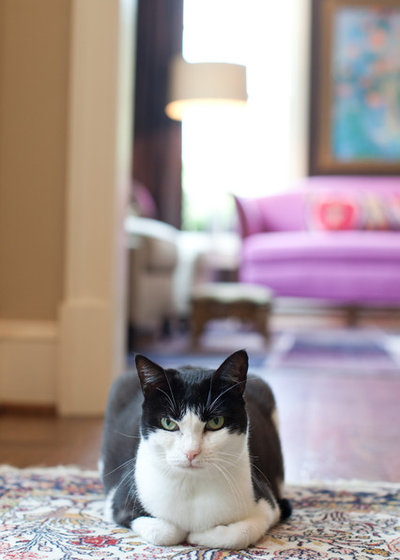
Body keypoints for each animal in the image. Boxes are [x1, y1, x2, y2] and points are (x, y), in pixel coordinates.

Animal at [100, 350, 290, 548]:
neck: (191, 487)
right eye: (168, 423)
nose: (191, 452)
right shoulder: (117, 503)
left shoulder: (268, 506)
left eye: (216, 422)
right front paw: (185, 533)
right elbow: (164, 531)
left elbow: (241, 534)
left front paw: (199, 536)